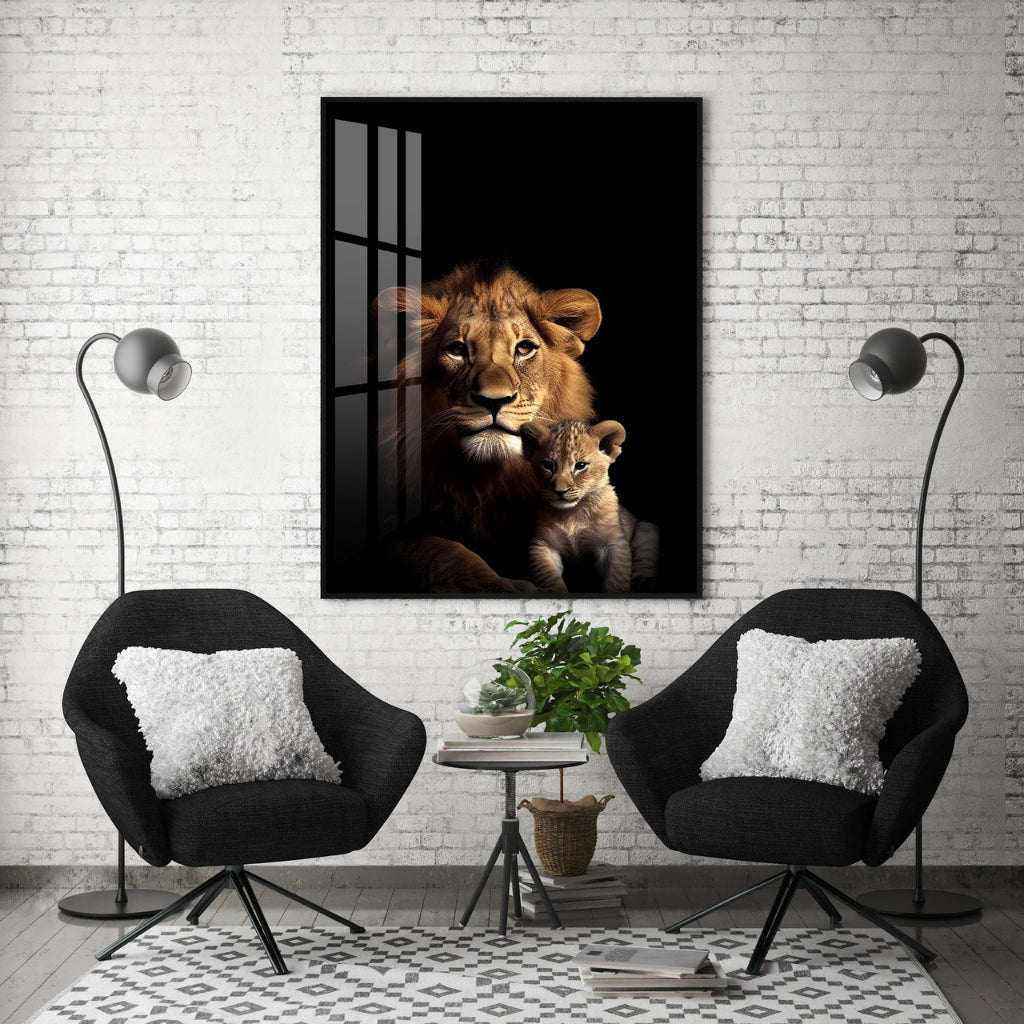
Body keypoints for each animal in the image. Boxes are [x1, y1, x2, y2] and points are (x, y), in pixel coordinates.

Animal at [371, 260, 602, 593]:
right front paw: (495, 586)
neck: (490, 479)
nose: (494, 400)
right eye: (457, 349)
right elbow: (441, 549)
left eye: (524, 348)